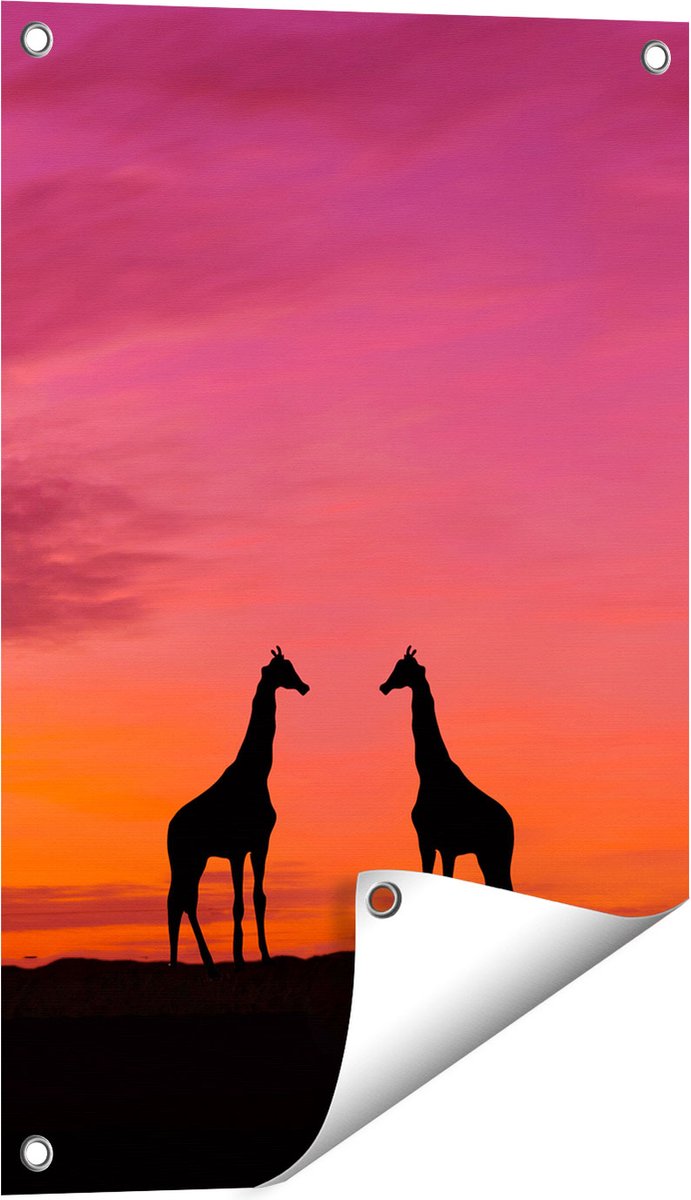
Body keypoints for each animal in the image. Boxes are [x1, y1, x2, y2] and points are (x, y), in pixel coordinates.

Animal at [167, 647, 310, 975]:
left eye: (292, 667)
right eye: (283, 670)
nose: (304, 686)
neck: (257, 773)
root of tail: (169, 829)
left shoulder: (260, 844)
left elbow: (259, 898)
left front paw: (265, 955)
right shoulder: (236, 850)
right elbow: (237, 904)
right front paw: (238, 958)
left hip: (195, 860)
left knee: (182, 901)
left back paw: (192, 963)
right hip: (186, 859)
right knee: (181, 901)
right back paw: (199, 964)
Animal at [380, 647, 514, 889]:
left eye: (402, 669)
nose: (383, 687)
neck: (428, 772)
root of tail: (511, 826)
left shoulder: (437, 843)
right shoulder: (436, 844)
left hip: (495, 854)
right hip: (487, 856)